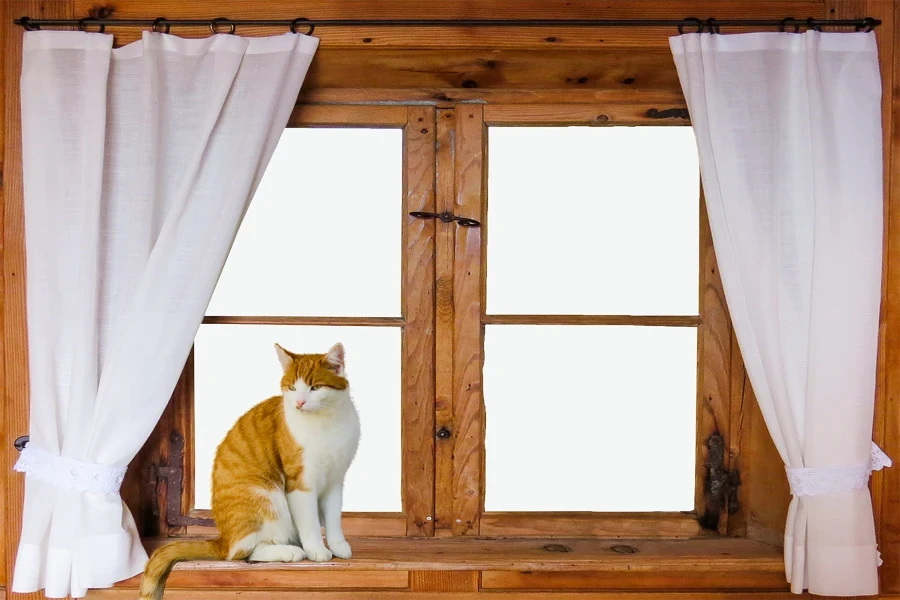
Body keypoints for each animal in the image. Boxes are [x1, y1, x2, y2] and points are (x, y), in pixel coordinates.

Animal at [139, 342, 360, 600]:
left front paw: (338, 545)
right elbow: (310, 522)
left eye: (315, 387)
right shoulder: (300, 483)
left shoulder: (335, 480)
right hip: (267, 498)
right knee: (241, 553)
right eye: (293, 388)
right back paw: (290, 551)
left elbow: (334, 517)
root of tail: (223, 539)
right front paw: (316, 549)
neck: (325, 423)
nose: (299, 403)